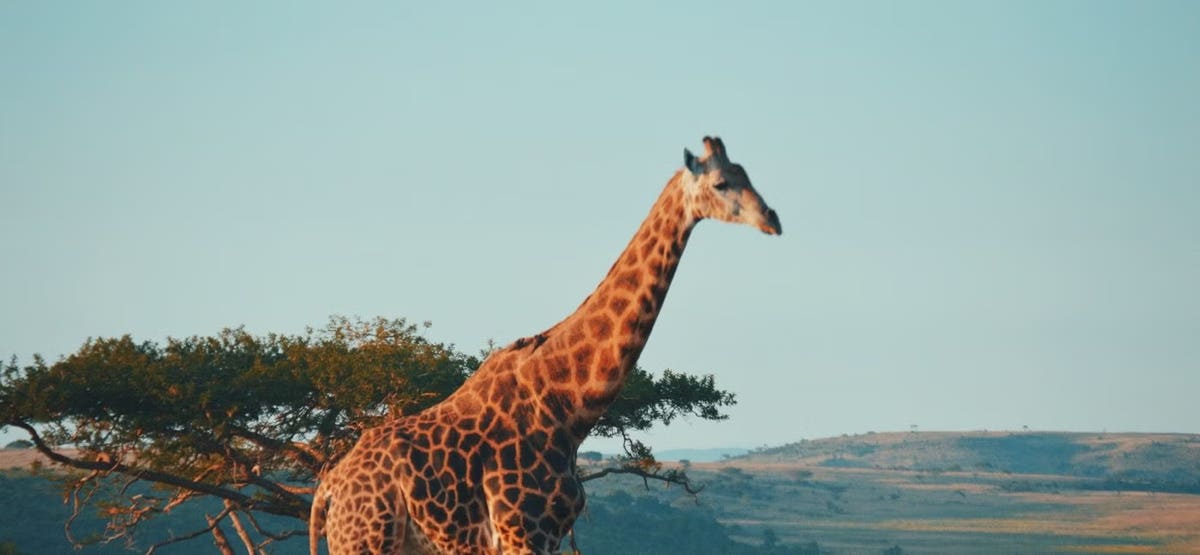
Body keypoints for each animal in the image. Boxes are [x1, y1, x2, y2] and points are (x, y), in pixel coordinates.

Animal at [309, 136, 781, 555]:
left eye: (747, 173)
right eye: (720, 183)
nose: (773, 219)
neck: (568, 404)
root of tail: (327, 490)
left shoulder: (546, 536)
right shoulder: (522, 532)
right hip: (366, 539)